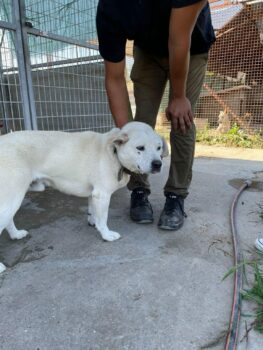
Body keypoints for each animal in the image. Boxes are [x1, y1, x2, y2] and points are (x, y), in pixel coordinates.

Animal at [0, 121, 169, 272]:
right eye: (140, 148)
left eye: (159, 147)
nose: (158, 164)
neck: (113, 153)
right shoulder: (102, 195)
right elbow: (103, 219)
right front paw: (106, 234)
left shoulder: (94, 194)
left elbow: (93, 211)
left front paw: (93, 221)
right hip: (12, 197)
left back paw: (16, 235)